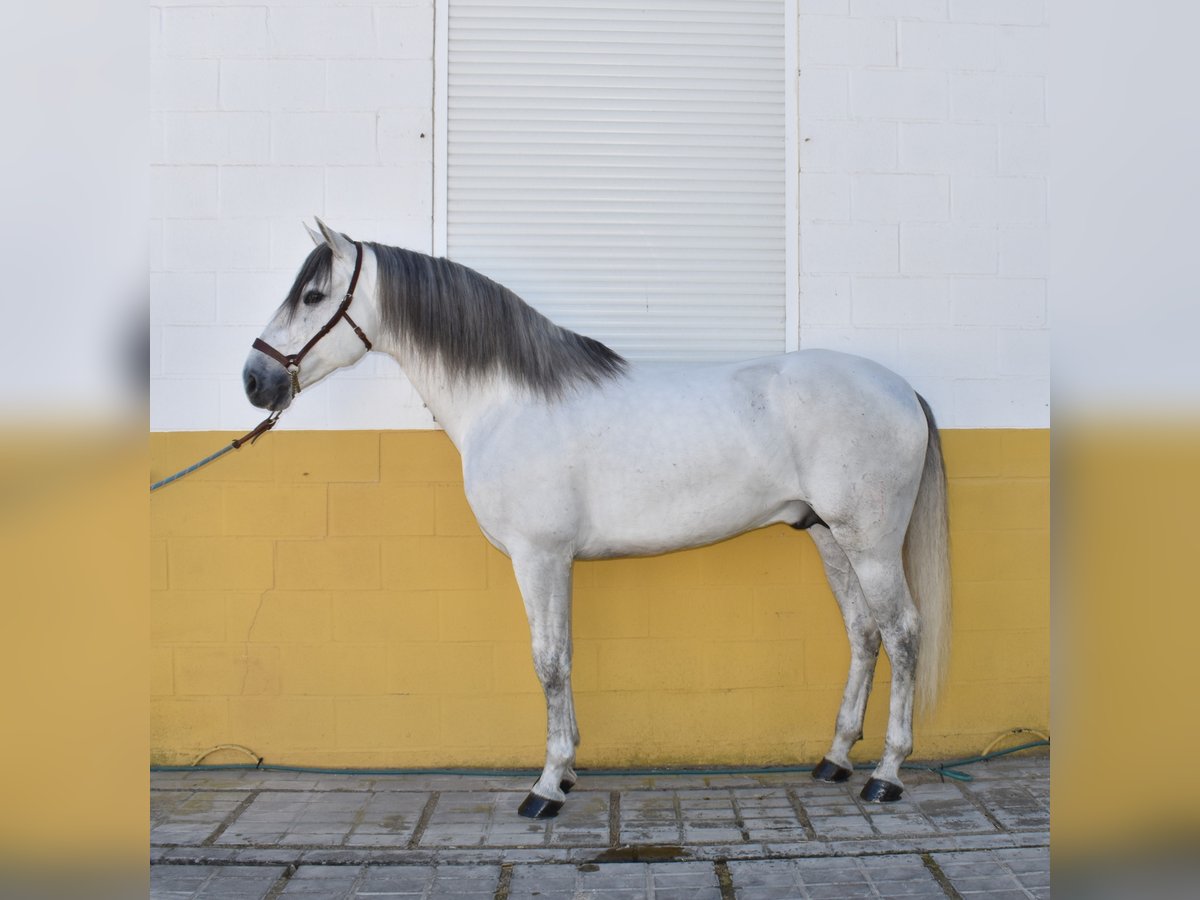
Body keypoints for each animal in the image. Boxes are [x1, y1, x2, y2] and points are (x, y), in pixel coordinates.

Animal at [243, 220, 950, 816]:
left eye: (312, 295)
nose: (255, 381)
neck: (507, 402)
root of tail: (901, 389)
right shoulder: (555, 562)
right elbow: (565, 656)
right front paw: (570, 769)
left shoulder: (539, 557)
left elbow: (549, 661)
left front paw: (546, 786)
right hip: (831, 537)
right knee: (864, 633)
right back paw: (835, 759)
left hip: (871, 543)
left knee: (904, 633)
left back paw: (887, 773)